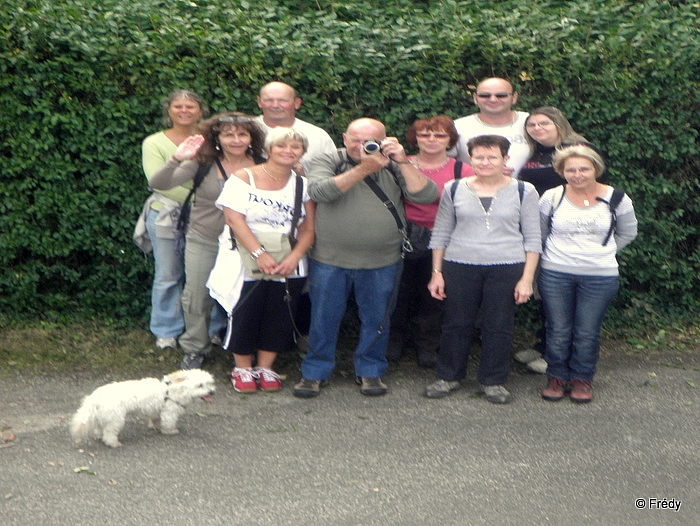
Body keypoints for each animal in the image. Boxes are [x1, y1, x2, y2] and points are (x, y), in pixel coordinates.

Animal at [71, 370, 215, 448]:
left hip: (105, 416)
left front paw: (156, 426)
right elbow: (168, 423)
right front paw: (170, 431)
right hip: (116, 419)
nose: (212, 392)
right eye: (200, 385)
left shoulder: (157, 411)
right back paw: (113, 443)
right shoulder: (169, 412)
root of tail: (94, 397)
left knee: (100, 429)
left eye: (209, 383)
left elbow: (156, 420)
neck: (175, 390)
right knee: (109, 433)